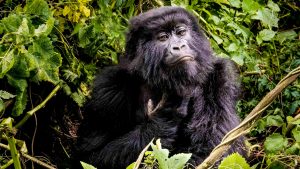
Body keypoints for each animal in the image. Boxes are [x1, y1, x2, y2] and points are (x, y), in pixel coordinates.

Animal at [74, 5, 244, 168]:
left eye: (181, 32)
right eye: (163, 37)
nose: (179, 46)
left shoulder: (221, 77)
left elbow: (215, 150)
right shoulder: (109, 87)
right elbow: (90, 155)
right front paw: (165, 116)